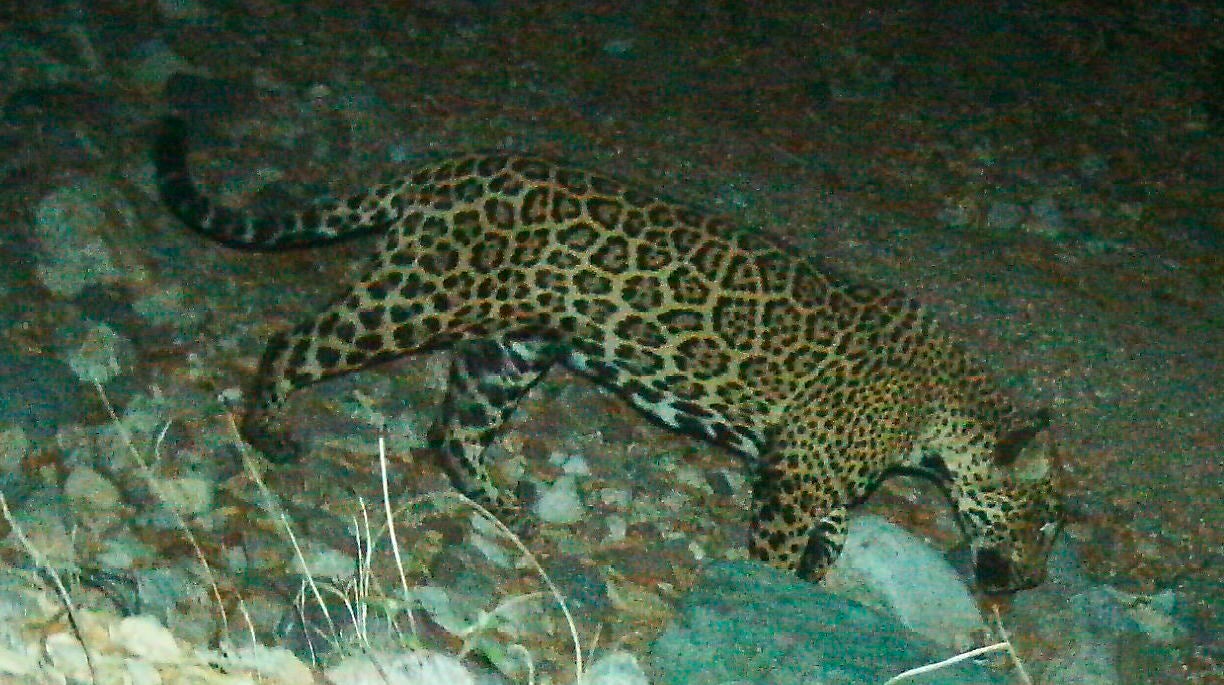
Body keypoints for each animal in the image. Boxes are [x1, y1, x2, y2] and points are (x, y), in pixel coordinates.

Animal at [153, 116, 1064, 593]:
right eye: (1043, 520)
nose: (1028, 581)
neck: (940, 414)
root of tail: (448, 168)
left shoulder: (820, 473)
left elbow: (835, 533)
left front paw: (810, 583)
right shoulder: (798, 472)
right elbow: (782, 545)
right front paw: (771, 591)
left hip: (513, 348)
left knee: (453, 430)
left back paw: (510, 508)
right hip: (418, 297)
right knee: (298, 340)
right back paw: (268, 429)